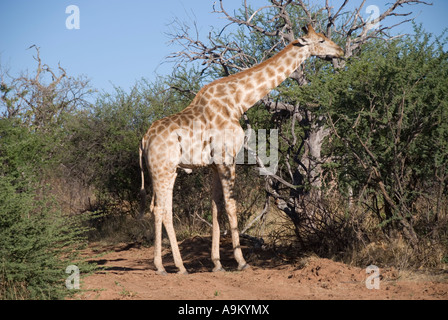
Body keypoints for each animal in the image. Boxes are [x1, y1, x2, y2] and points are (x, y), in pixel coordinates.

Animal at [139, 25, 344, 276]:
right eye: (321, 40)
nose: (340, 51)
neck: (238, 101)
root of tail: (144, 139)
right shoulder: (227, 157)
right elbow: (232, 204)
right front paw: (241, 260)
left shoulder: (214, 164)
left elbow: (216, 207)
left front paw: (217, 264)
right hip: (165, 169)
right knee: (163, 209)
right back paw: (176, 266)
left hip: (160, 170)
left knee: (157, 208)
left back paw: (162, 265)